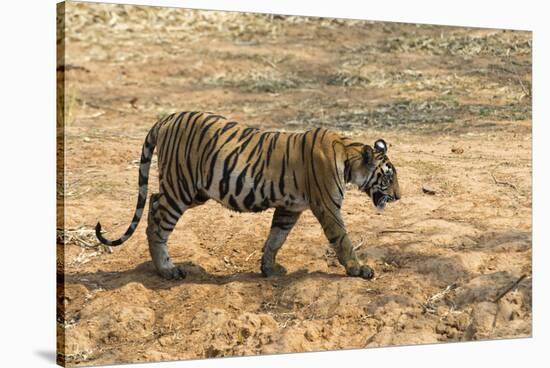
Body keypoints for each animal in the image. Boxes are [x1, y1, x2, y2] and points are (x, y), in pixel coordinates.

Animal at [97, 110, 404, 280]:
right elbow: (343, 241)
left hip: (193, 191)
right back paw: (167, 270)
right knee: (159, 222)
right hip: (181, 188)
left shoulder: (290, 208)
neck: (348, 154)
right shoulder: (327, 208)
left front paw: (268, 269)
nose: (400, 197)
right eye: (389, 177)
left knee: (153, 201)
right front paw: (359, 270)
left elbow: (275, 239)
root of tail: (167, 118)